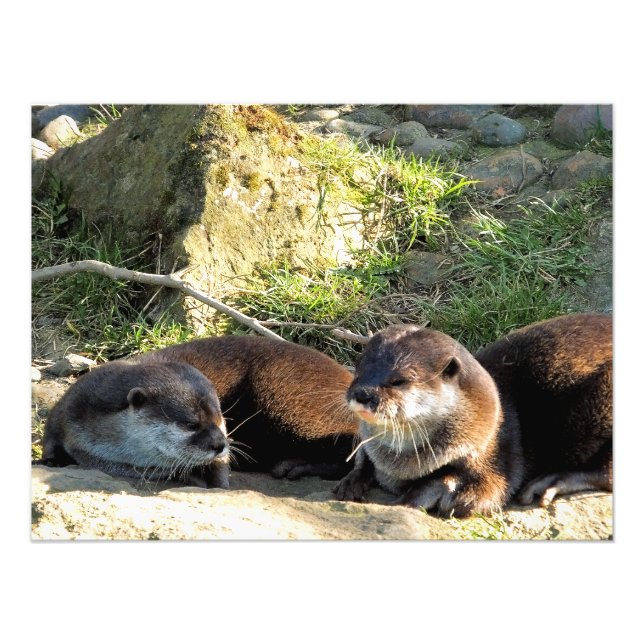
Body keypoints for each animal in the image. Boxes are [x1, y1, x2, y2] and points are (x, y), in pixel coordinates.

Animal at [334, 313, 612, 517]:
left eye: (399, 380)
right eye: (359, 368)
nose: (362, 394)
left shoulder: (496, 455)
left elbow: (486, 494)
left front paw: (425, 494)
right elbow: (362, 458)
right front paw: (351, 481)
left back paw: (551, 481)